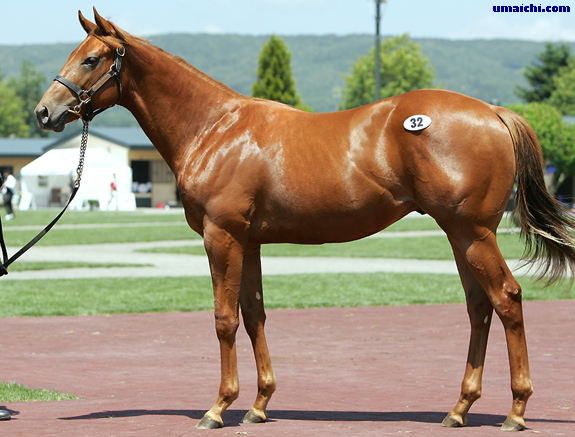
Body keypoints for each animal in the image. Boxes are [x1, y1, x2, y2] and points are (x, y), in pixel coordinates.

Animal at [35, 9, 575, 431]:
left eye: (90, 58)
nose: (44, 112)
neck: (214, 128)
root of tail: (493, 111)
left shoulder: (221, 237)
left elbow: (225, 319)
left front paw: (218, 408)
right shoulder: (248, 242)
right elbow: (254, 313)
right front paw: (258, 405)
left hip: (473, 232)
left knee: (506, 299)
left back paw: (516, 411)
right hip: (461, 235)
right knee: (479, 307)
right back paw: (460, 408)